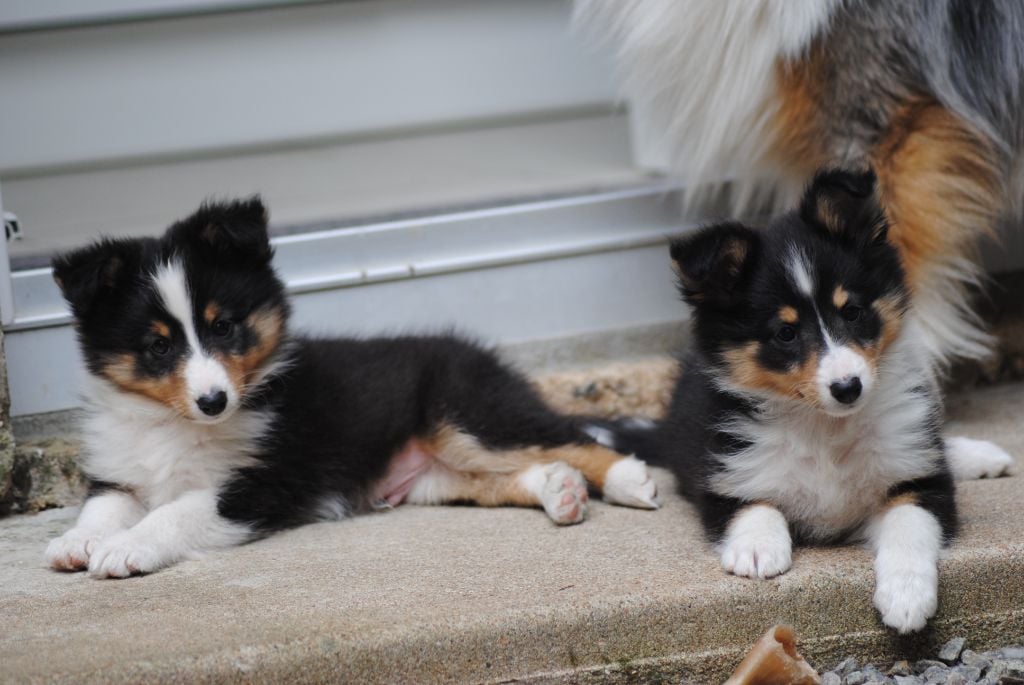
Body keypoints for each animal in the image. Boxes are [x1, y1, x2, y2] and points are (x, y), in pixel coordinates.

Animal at [44, 196, 659, 577]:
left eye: (223, 327)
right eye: (158, 346)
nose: (214, 402)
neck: (169, 423)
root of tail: (477, 354)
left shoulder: (258, 483)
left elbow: (174, 513)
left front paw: (125, 548)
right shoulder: (119, 469)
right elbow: (104, 504)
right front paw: (78, 542)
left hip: (465, 413)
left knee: (570, 438)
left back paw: (628, 480)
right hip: (433, 474)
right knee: (505, 476)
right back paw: (561, 491)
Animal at [598, 169, 1015, 630]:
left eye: (852, 312)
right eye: (785, 333)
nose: (848, 387)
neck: (824, 426)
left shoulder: (921, 479)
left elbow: (910, 524)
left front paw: (906, 597)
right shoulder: (723, 474)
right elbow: (755, 503)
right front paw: (758, 549)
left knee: (938, 446)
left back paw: (978, 455)